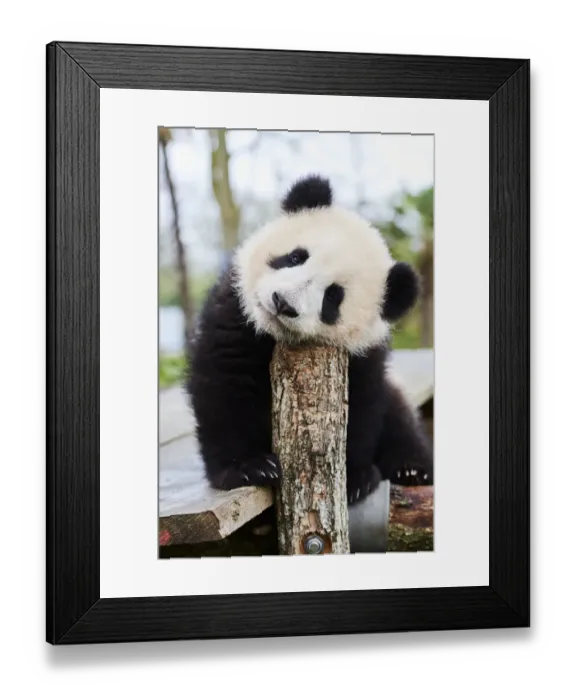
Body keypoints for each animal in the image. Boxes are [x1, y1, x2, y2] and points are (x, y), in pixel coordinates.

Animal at [185, 174, 433, 508]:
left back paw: (412, 469)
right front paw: (248, 468)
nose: (283, 303)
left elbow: (361, 406)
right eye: (295, 257)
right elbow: (226, 385)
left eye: (333, 297)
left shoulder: (363, 356)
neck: (276, 337)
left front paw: (354, 479)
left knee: (399, 416)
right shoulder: (234, 315)